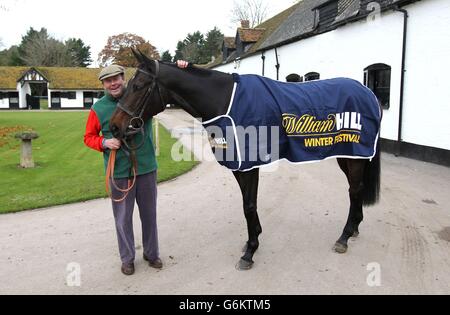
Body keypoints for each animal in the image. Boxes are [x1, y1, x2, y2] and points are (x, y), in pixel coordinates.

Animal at [109, 50, 380, 272]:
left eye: (138, 85)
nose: (115, 127)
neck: (224, 101)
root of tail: (368, 93)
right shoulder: (239, 165)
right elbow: (248, 204)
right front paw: (252, 241)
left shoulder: (250, 164)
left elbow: (248, 205)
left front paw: (249, 252)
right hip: (348, 155)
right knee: (355, 189)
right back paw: (354, 228)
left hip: (355, 155)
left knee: (354, 189)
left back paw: (344, 237)